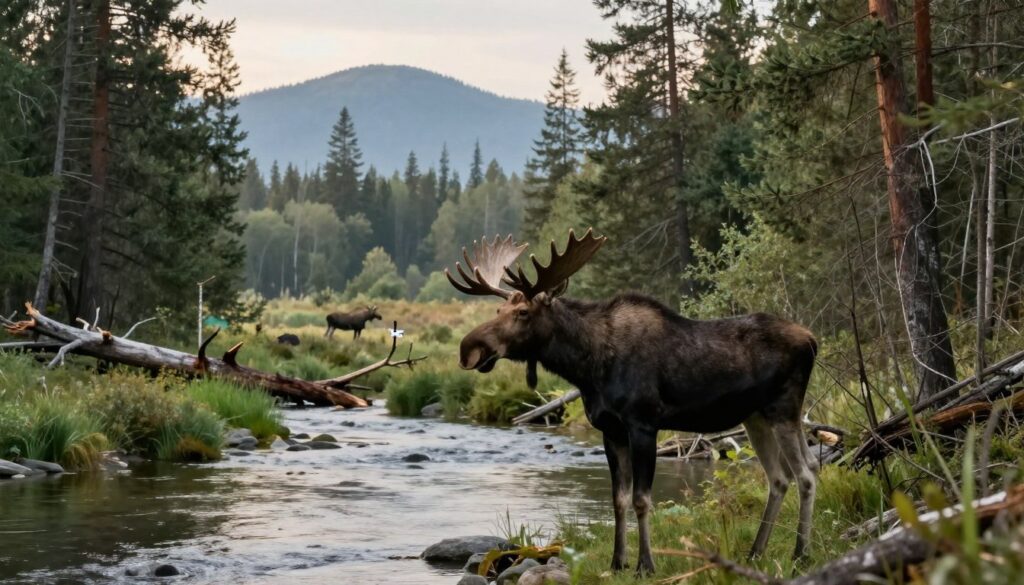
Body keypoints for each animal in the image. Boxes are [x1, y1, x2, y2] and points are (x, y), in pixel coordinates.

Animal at [445, 230, 819, 575]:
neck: (587, 368)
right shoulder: (610, 430)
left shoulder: (643, 423)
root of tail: (813, 339)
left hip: (783, 408)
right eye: (498, 308)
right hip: (756, 416)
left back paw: (800, 554)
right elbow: (619, 500)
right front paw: (617, 562)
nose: (468, 349)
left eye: (522, 312)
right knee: (782, 477)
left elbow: (641, 499)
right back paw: (756, 552)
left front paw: (645, 565)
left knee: (805, 473)